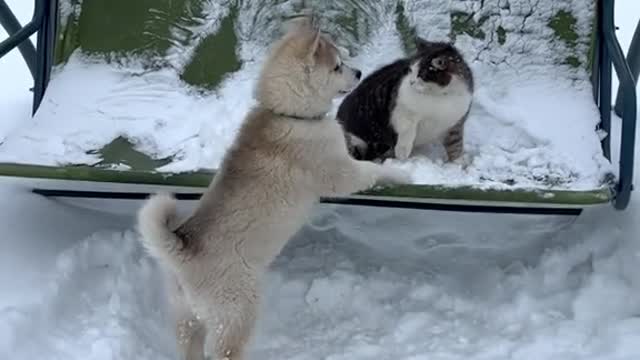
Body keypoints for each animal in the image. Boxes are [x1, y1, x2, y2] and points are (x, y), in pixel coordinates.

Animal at [138, 15, 412, 358]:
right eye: (337, 66)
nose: (360, 72)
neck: (289, 114)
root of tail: (182, 255)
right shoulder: (339, 172)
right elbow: (370, 171)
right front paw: (402, 174)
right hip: (237, 312)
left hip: (186, 319)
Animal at [338, 37, 472, 162]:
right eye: (411, 70)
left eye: (421, 75)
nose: (411, 82)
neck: (440, 96)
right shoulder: (401, 110)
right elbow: (407, 130)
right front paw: (402, 152)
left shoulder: (456, 122)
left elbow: (455, 144)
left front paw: (458, 163)